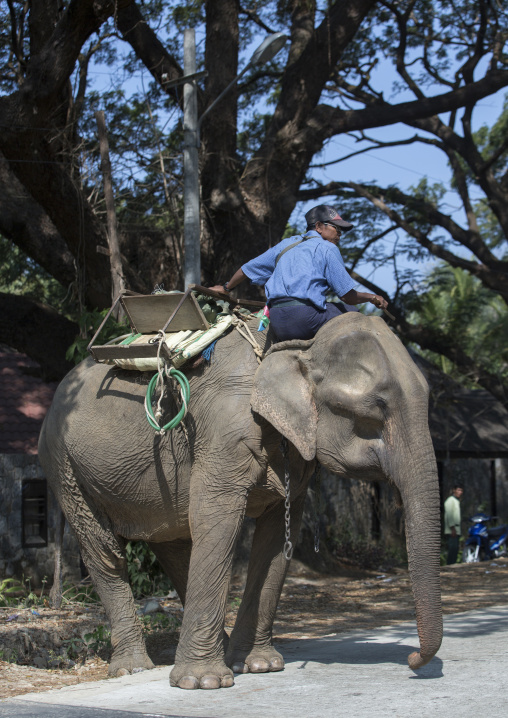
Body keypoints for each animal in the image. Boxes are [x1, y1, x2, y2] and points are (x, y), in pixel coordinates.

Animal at [38, 311, 442, 689]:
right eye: (375, 409)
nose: (412, 660)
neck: (296, 349)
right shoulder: (225, 431)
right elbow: (215, 518)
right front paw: (202, 682)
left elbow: (276, 537)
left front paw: (259, 665)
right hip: (64, 465)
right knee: (104, 551)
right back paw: (134, 668)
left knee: (173, 545)